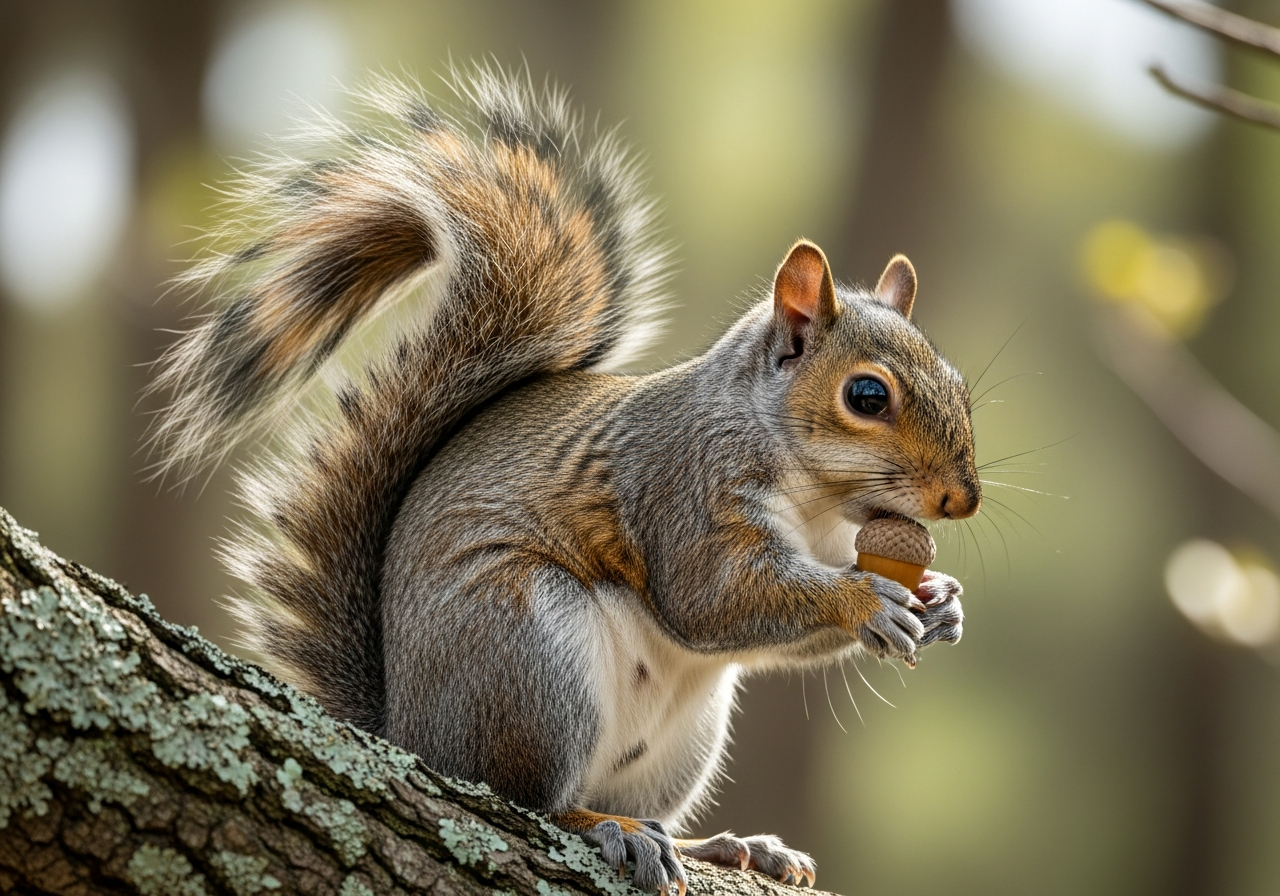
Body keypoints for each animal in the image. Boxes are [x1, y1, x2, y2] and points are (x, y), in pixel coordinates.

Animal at [149, 67, 980, 894]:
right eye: (866, 396)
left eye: (960, 384)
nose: (962, 500)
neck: (816, 498)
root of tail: (409, 734)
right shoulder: (682, 488)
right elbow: (713, 599)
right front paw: (865, 600)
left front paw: (942, 603)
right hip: (526, 654)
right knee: (528, 799)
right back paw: (608, 828)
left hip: (683, 736)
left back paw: (724, 845)